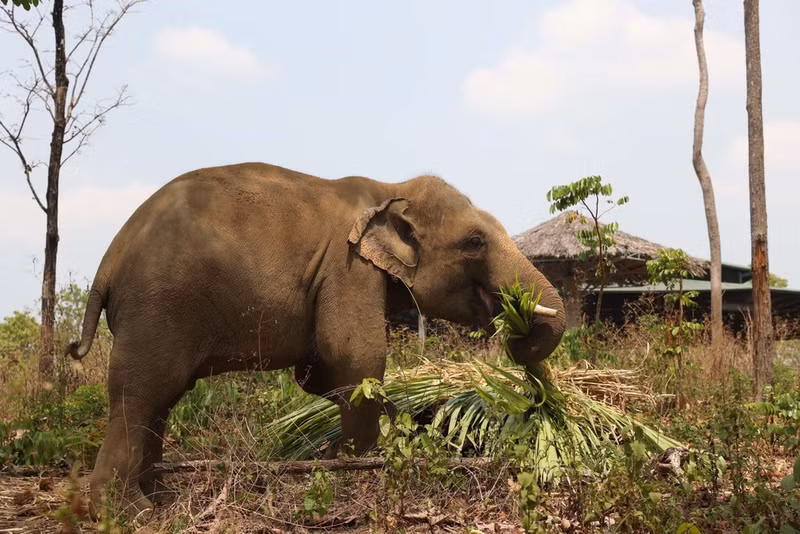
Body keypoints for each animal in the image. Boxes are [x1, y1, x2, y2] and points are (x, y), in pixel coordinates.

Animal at [65, 162, 566, 516]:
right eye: (475, 242)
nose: (517, 330)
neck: (387, 188)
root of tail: (108, 261)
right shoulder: (348, 269)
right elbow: (354, 357)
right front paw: (359, 462)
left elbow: (316, 374)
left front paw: (388, 434)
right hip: (157, 306)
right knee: (141, 394)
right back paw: (130, 513)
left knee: (160, 400)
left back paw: (159, 498)